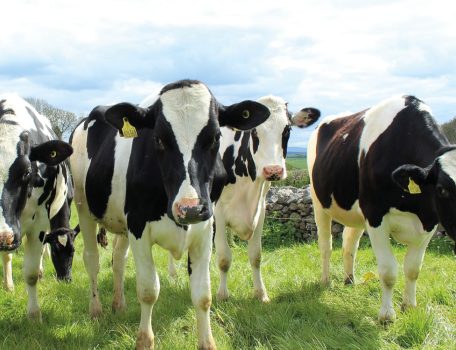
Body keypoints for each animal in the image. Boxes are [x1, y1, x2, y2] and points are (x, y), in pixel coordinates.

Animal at [0, 93, 75, 320]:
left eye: (25, 172)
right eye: (58, 252)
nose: (66, 279)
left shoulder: (41, 221)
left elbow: (31, 273)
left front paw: (34, 316)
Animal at [70, 79, 270, 350]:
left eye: (215, 137)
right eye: (158, 139)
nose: (189, 207)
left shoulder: (206, 228)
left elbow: (203, 295)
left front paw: (207, 342)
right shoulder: (138, 227)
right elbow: (148, 290)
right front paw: (144, 341)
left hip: (120, 221)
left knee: (118, 260)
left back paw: (119, 304)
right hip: (83, 207)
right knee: (91, 259)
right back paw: (96, 309)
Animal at [212, 95, 318, 300]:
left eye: (287, 129)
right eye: (254, 131)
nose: (273, 170)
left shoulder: (260, 210)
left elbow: (256, 255)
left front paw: (261, 293)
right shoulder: (218, 211)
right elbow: (223, 258)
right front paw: (222, 295)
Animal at [300, 95, 456, 322]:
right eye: (442, 189)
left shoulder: (429, 221)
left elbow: (413, 269)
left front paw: (409, 307)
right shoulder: (375, 215)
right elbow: (388, 271)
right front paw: (387, 315)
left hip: (356, 212)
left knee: (349, 242)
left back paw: (349, 279)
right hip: (319, 202)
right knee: (326, 246)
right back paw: (326, 280)